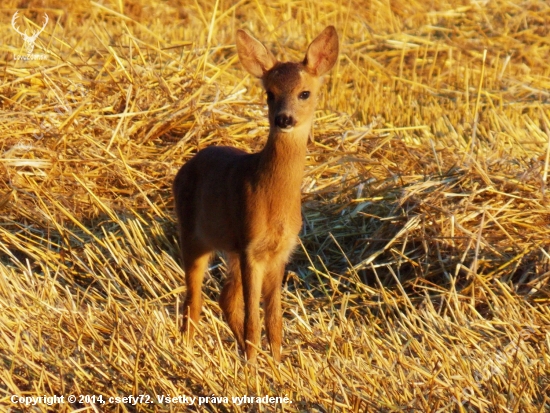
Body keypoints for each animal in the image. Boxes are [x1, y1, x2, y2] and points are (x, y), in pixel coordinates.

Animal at [175, 25, 340, 360]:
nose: (284, 119)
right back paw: (188, 351)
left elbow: (274, 319)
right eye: (269, 94)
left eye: (305, 93)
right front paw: (252, 365)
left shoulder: (279, 252)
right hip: (194, 237)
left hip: (231, 248)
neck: (273, 197)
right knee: (193, 300)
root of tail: (184, 168)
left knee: (225, 298)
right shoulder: (251, 247)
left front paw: (276, 363)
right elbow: (254, 318)